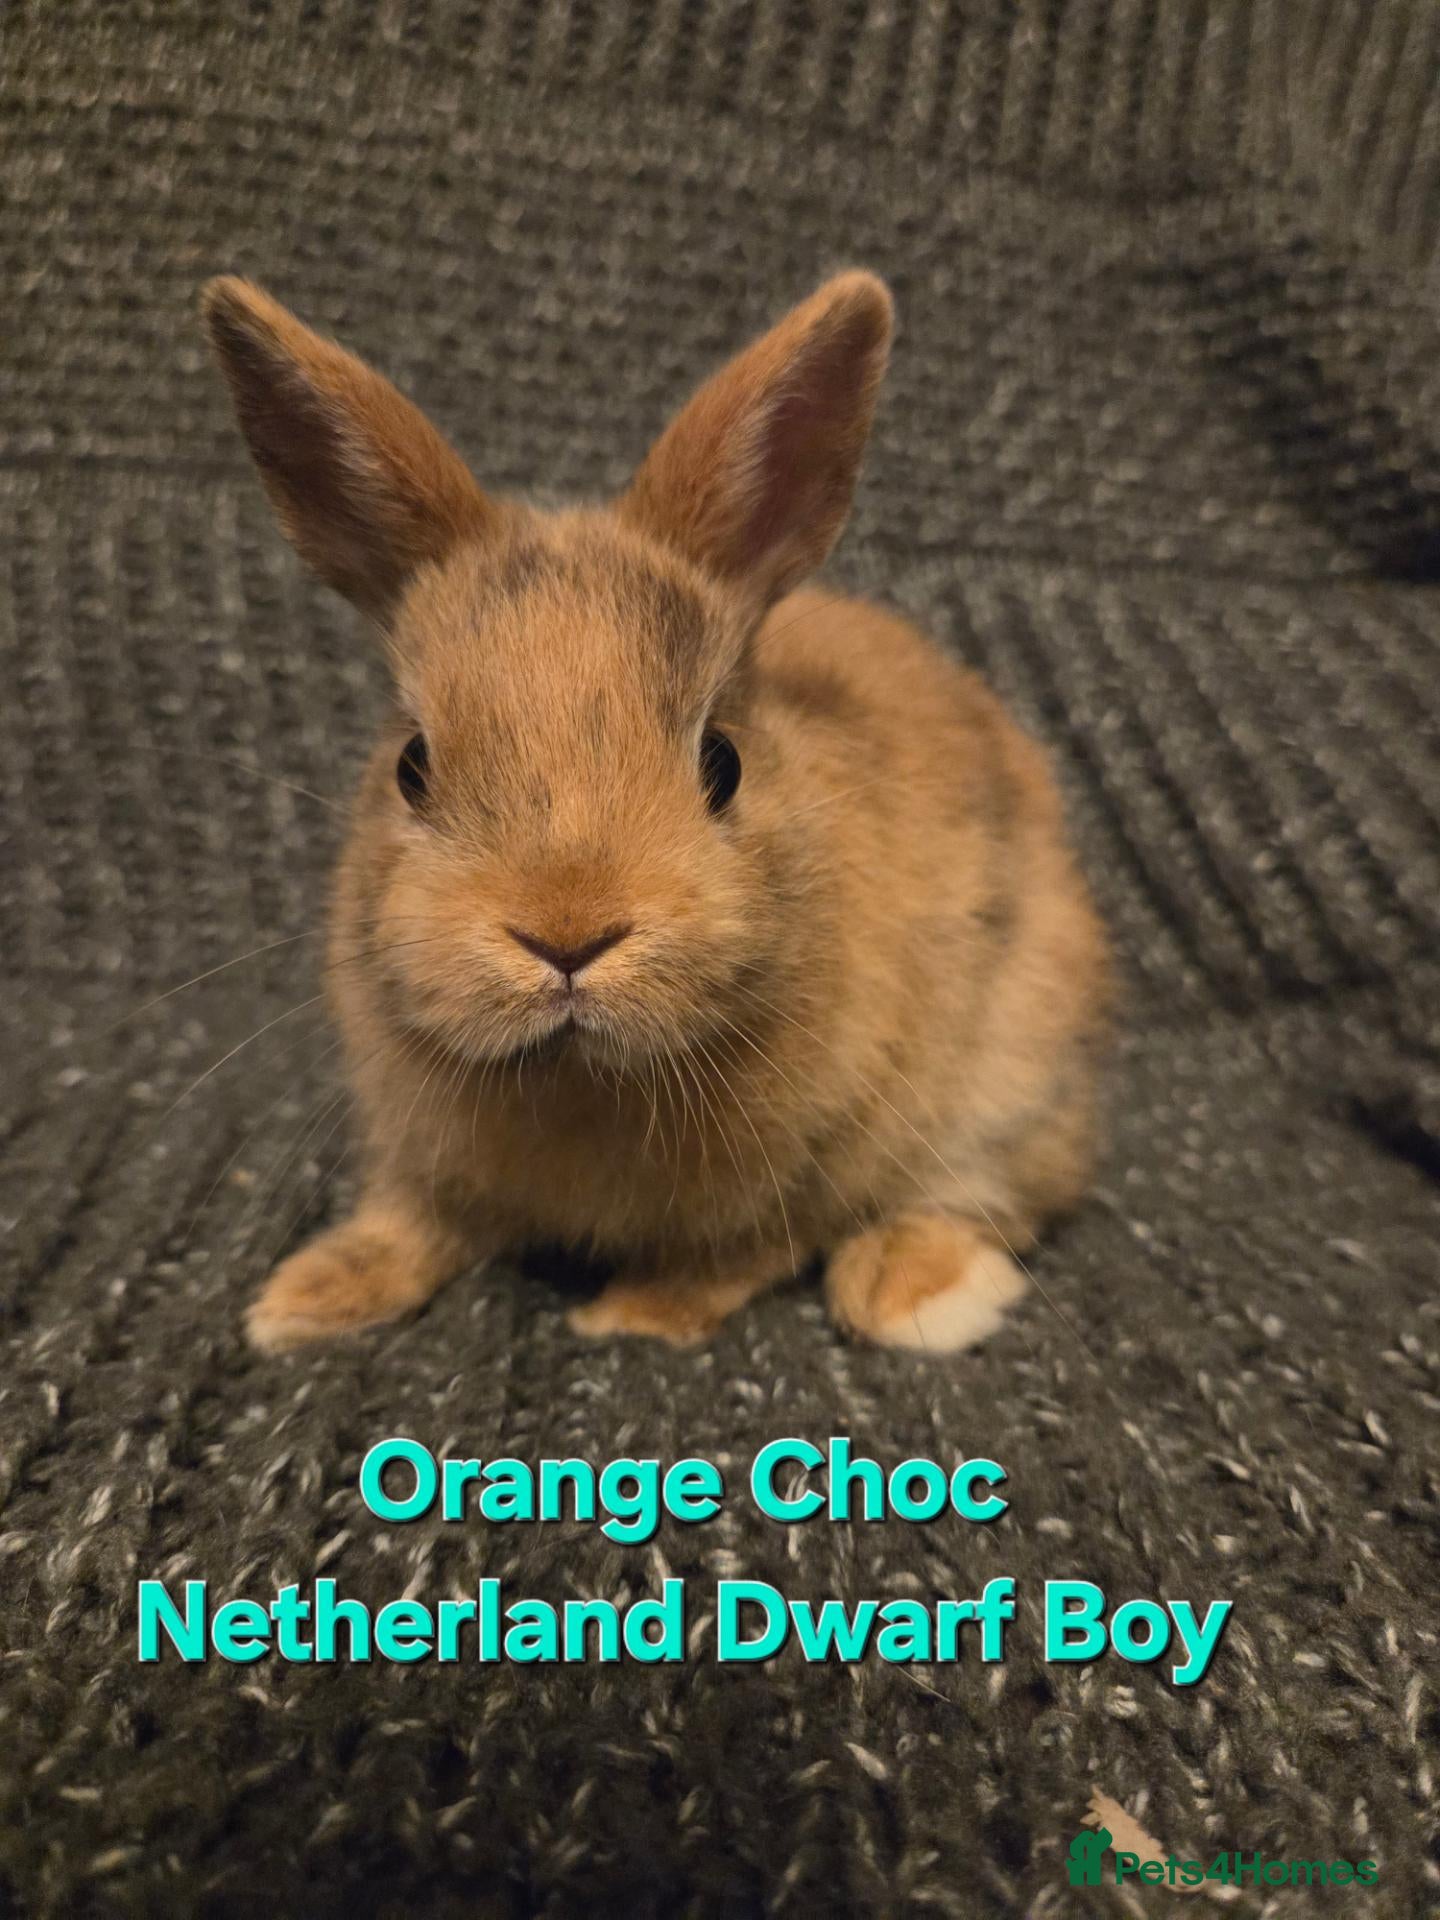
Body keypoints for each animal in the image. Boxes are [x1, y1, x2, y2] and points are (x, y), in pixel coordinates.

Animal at [201, 269, 1111, 1357]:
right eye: (412, 765)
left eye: (722, 760)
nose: (567, 935)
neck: (580, 1076)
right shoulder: (418, 1160)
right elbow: (407, 1224)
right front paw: (305, 1299)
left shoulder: (799, 1173)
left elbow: (734, 1257)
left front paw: (631, 1315)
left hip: (1016, 1060)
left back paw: (914, 1293)